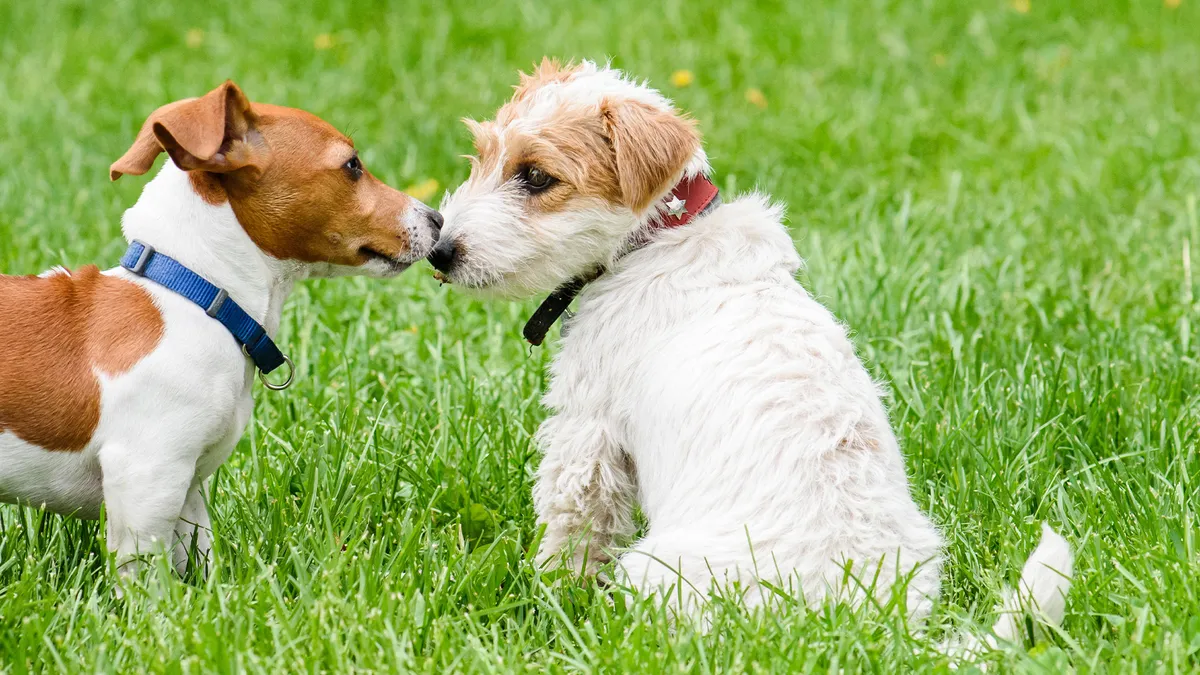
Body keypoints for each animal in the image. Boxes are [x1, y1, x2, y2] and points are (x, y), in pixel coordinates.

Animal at [0, 79, 441, 578]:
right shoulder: (147, 477)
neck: (198, 295)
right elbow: (147, 577)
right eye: (352, 165)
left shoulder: (187, 488)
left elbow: (199, 554)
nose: (438, 219)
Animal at [429, 59, 1070, 634]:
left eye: (537, 177)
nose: (440, 252)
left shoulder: (587, 434)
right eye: (482, 155)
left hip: (657, 572)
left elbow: (571, 532)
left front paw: (549, 595)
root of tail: (869, 628)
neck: (659, 236)